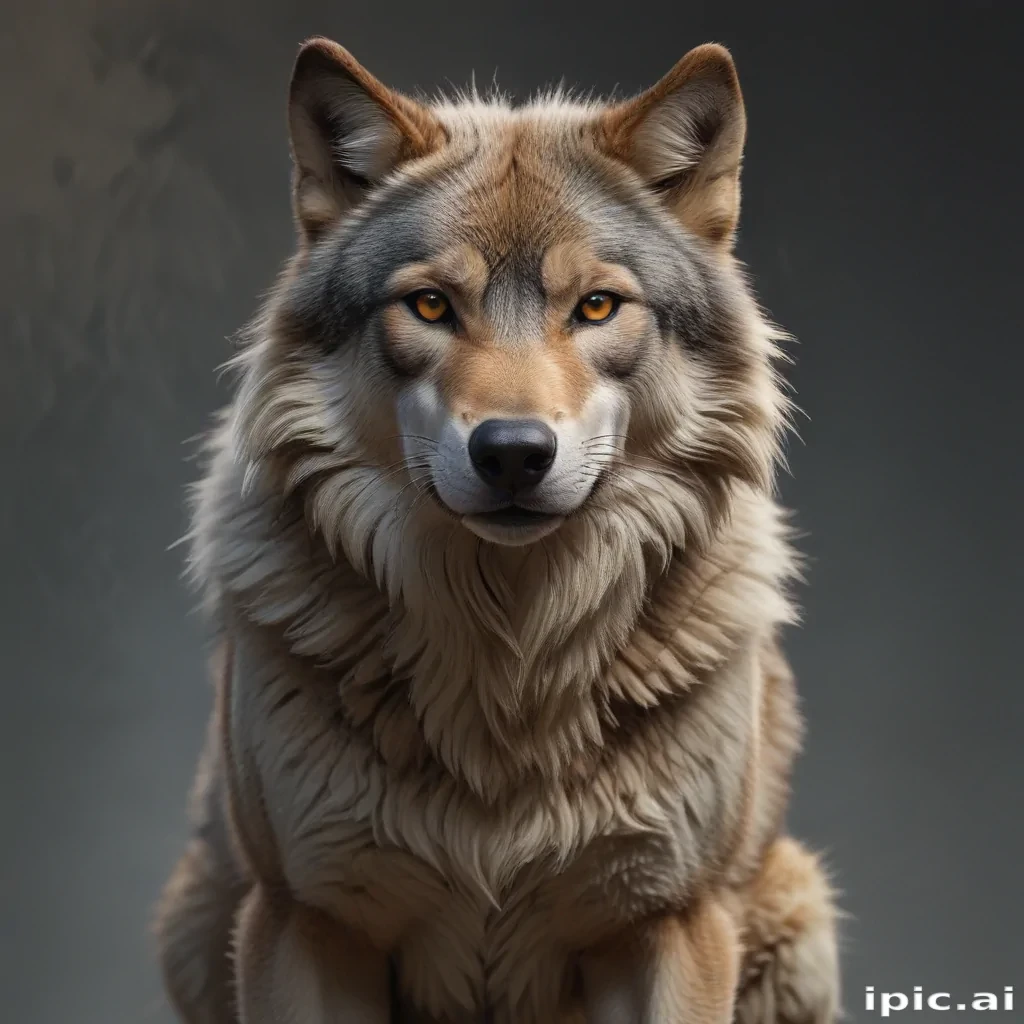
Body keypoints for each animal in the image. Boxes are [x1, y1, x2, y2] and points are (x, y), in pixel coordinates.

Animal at [155, 36, 840, 1024]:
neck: (508, 659)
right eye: (431, 306)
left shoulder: (669, 918)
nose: (513, 453)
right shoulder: (306, 916)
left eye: (596, 306)